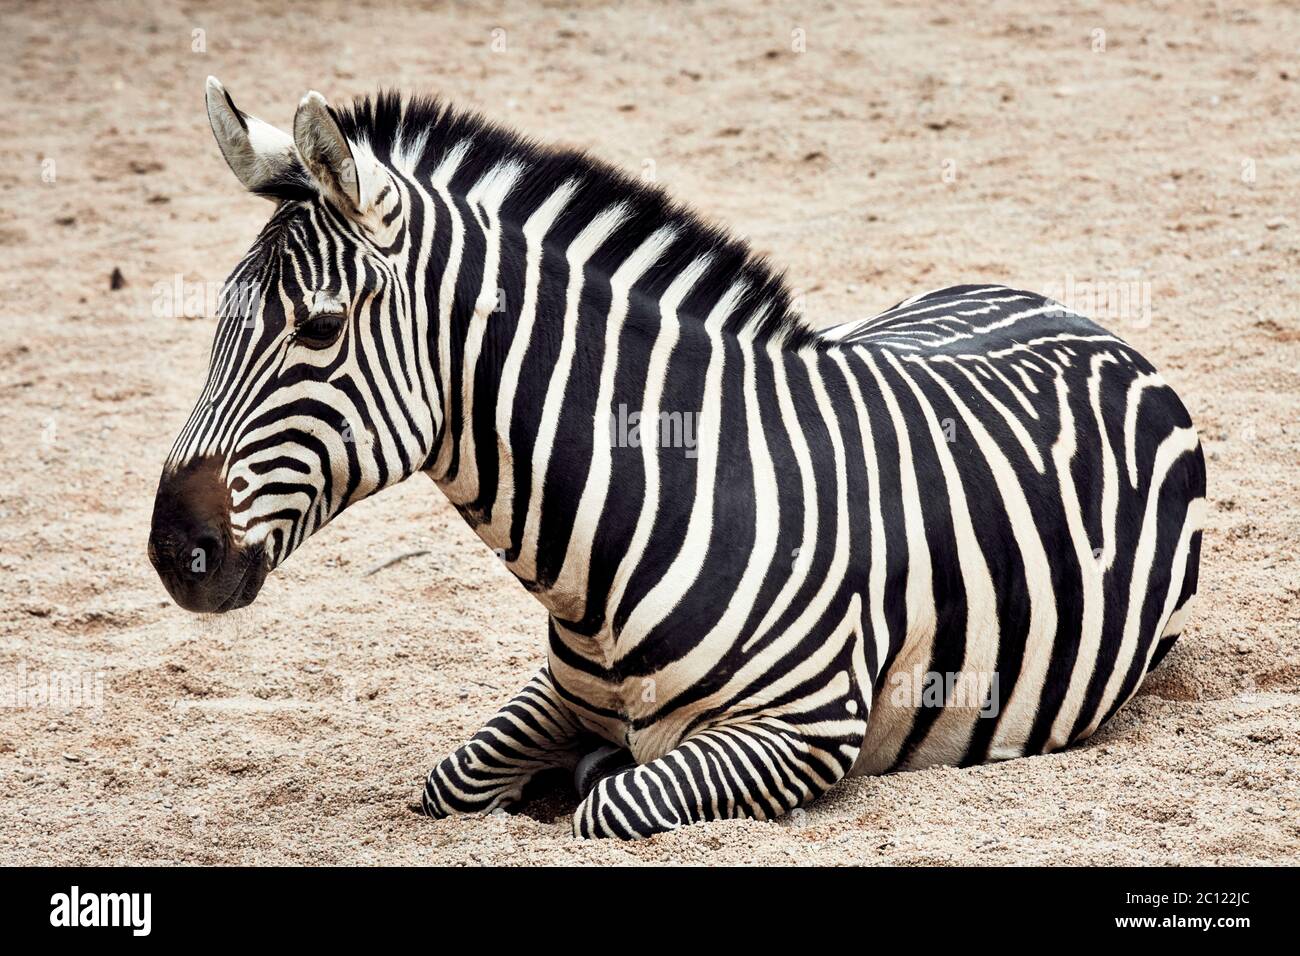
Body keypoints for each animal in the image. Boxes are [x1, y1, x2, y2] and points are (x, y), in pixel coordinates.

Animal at [148, 78, 1206, 839]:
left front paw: (585, 782)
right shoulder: (559, 693)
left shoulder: (806, 730)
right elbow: (450, 783)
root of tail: (1068, 308)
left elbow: (609, 805)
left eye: (319, 329)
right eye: (218, 319)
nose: (172, 552)